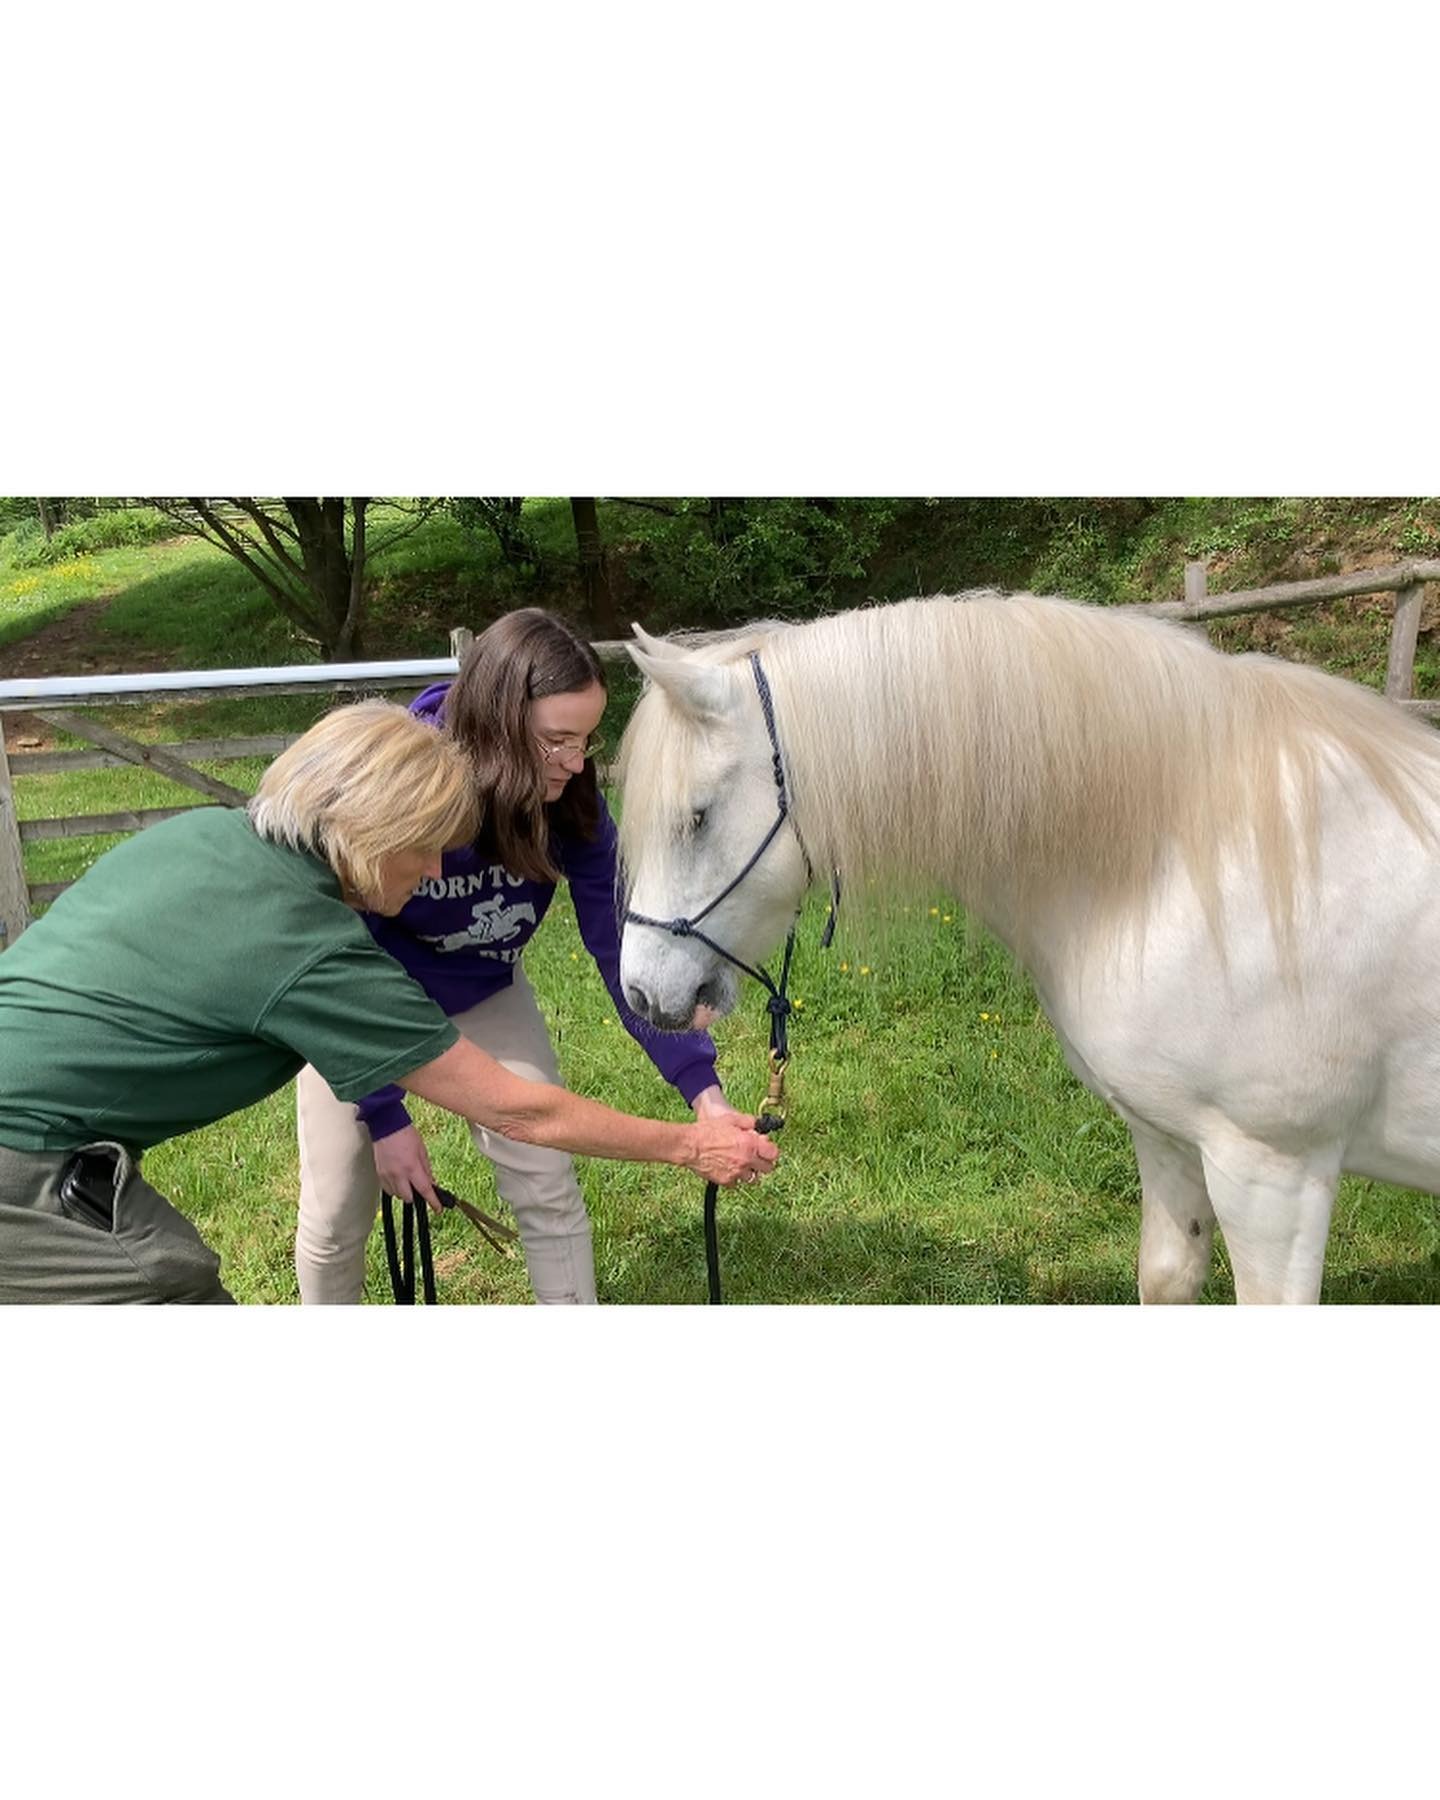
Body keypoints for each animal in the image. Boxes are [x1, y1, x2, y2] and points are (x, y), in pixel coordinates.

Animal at [614, 592, 1440, 1304]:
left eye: (696, 816)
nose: (643, 994)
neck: (1185, 854)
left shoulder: (1275, 1174)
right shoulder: (1169, 1140)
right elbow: (1166, 1279)